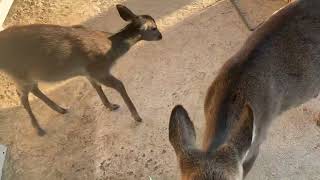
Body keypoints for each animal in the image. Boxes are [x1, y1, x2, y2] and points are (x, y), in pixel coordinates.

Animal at [0, 4, 161, 136]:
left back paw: (61, 109)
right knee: (22, 97)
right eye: (154, 28)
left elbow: (96, 86)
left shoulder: (88, 72)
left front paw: (110, 106)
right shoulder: (98, 69)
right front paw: (137, 117)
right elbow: (119, 85)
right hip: (19, 74)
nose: (160, 36)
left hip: (27, 75)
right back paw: (39, 129)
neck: (110, 47)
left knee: (34, 90)